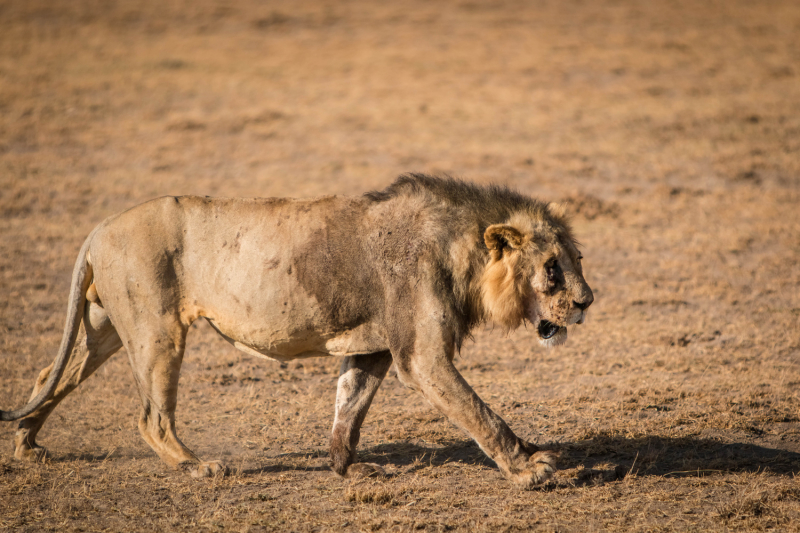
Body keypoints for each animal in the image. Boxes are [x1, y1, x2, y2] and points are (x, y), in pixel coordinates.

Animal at [0, 175, 592, 486]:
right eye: (553, 269)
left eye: (578, 260)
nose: (587, 303)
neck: (462, 250)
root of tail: (99, 228)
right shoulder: (421, 356)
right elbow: (480, 413)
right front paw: (530, 466)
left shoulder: (374, 349)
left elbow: (349, 406)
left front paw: (345, 467)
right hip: (157, 331)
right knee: (151, 417)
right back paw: (197, 466)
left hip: (106, 329)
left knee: (46, 379)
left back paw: (28, 446)